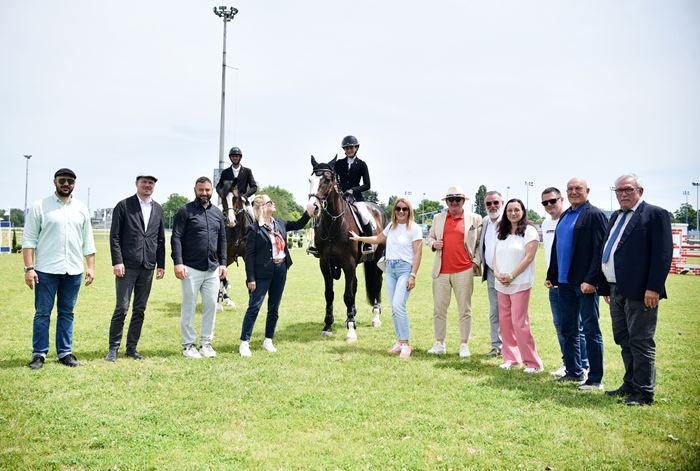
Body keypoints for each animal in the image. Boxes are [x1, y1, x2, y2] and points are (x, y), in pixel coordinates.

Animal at [306, 155, 386, 341]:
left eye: (327, 180)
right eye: (310, 180)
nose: (312, 208)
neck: (334, 223)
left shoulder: (348, 262)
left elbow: (348, 296)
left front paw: (351, 331)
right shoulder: (325, 263)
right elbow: (329, 294)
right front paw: (328, 326)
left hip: (377, 259)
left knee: (377, 283)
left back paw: (375, 318)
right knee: (355, 285)